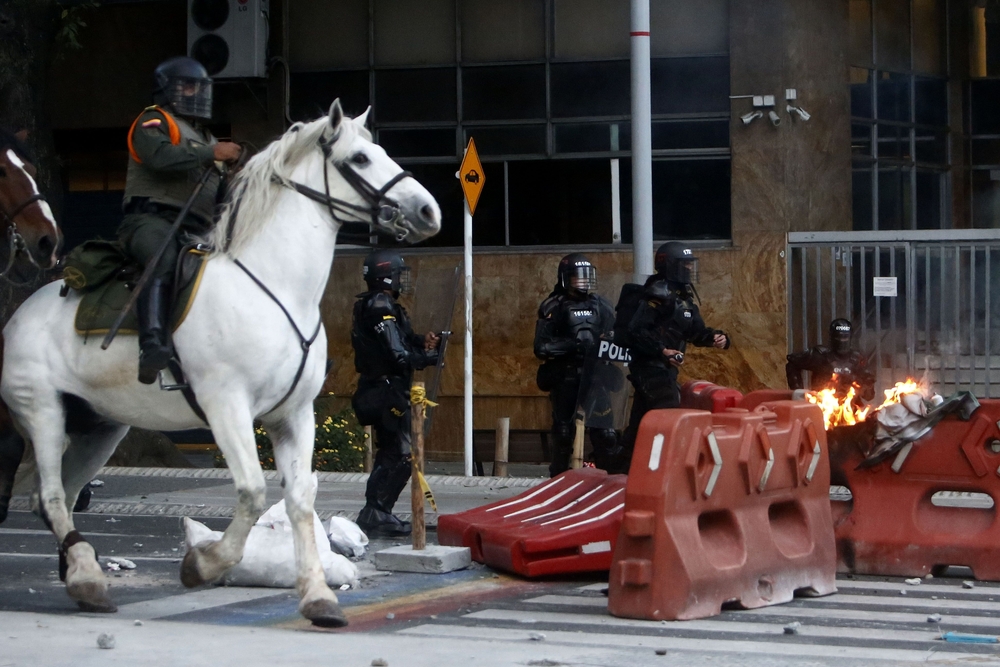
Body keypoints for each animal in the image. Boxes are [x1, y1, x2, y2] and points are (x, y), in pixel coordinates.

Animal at [0, 100, 438, 628]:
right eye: (359, 159)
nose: (429, 211)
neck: (274, 285)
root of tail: (21, 313)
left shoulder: (294, 414)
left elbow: (300, 500)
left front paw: (318, 598)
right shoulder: (227, 407)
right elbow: (251, 491)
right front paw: (203, 565)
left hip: (99, 428)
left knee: (57, 496)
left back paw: (81, 578)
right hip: (44, 411)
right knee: (50, 495)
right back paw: (86, 577)